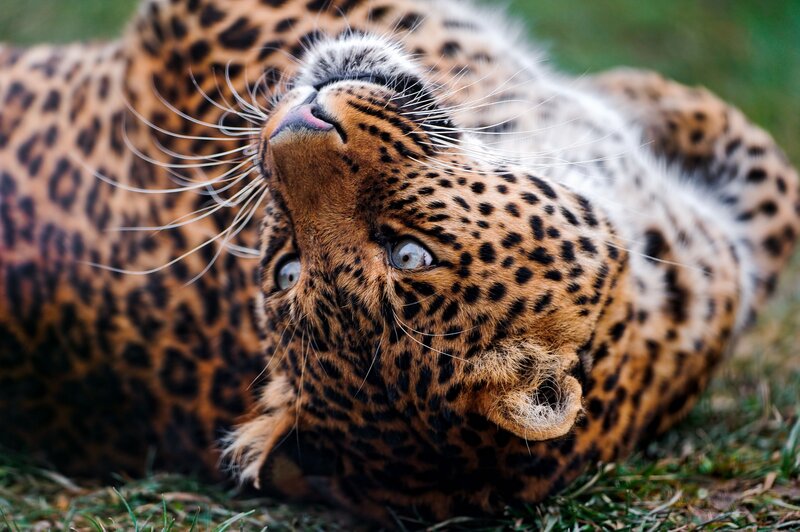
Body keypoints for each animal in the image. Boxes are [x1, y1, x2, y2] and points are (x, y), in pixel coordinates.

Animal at [1, 0, 798, 523]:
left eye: (408, 252)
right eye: (287, 269)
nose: (290, 124)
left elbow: (773, 180)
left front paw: (646, 102)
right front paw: (641, 98)